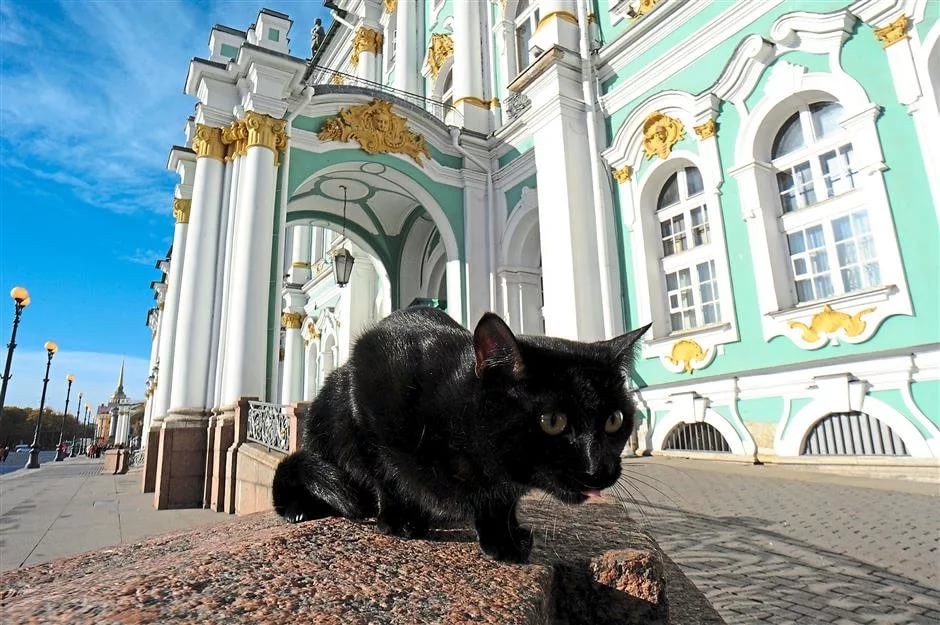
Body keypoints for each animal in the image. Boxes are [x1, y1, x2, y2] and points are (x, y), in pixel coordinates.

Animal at [272, 307, 649, 563]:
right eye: (552, 421)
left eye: (615, 420)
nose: (599, 467)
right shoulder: (367, 382)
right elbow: (382, 471)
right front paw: (399, 521)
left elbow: (501, 504)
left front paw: (505, 541)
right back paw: (302, 508)